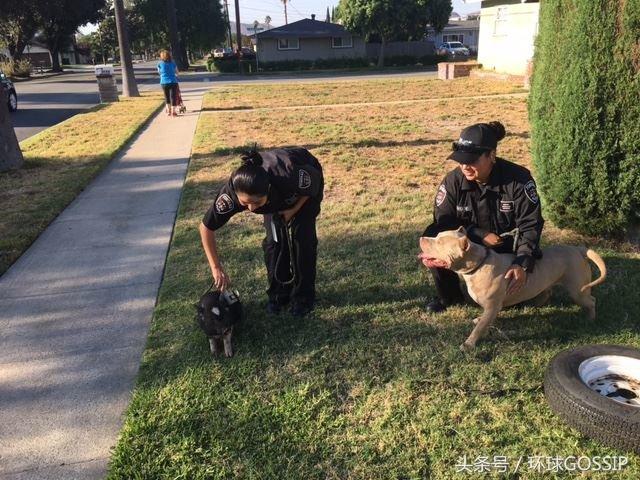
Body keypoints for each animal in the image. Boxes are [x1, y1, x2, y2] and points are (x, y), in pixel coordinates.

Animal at [420, 227, 604, 350]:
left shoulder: (492, 305)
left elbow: (479, 329)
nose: (421, 238)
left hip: (577, 290)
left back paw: (591, 319)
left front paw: (469, 344)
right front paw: (479, 320)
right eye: (437, 236)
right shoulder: (491, 307)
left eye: (440, 242)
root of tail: (578, 249)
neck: (478, 264)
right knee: (547, 291)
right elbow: (484, 320)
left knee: (591, 301)